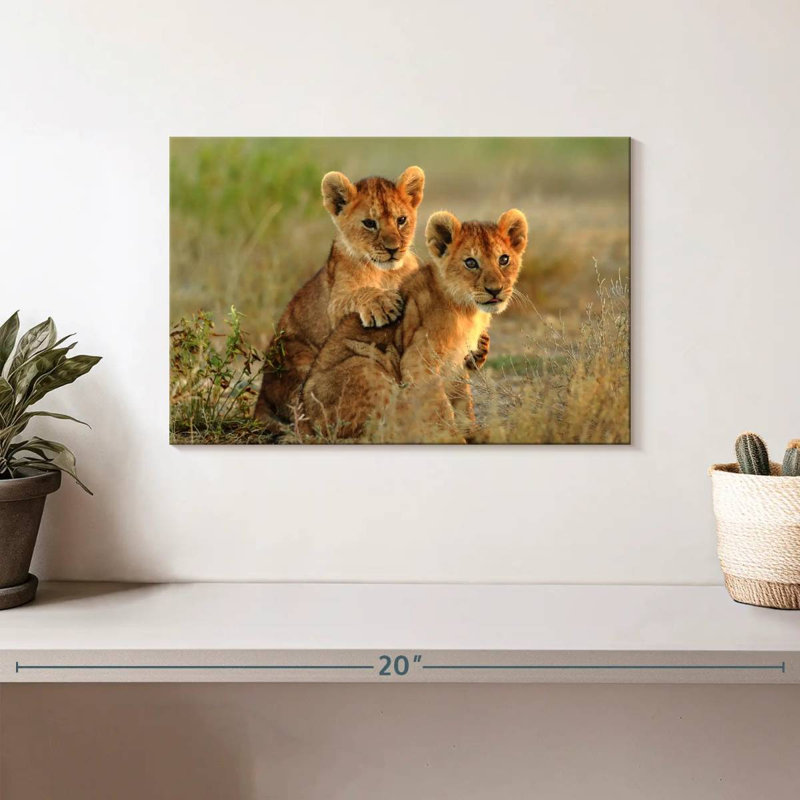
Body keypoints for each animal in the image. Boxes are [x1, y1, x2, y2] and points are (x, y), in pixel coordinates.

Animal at [253, 166, 425, 427]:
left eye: (401, 220)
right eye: (369, 223)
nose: (393, 249)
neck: (386, 273)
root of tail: (261, 395)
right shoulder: (335, 304)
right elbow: (356, 295)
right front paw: (382, 302)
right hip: (296, 354)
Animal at [300, 208, 528, 443]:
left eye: (504, 259)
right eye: (471, 263)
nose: (495, 290)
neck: (468, 310)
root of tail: (306, 422)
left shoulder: (456, 362)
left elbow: (462, 401)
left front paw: (472, 432)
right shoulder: (418, 361)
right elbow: (439, 406)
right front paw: (452, 438)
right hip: (365, 365)